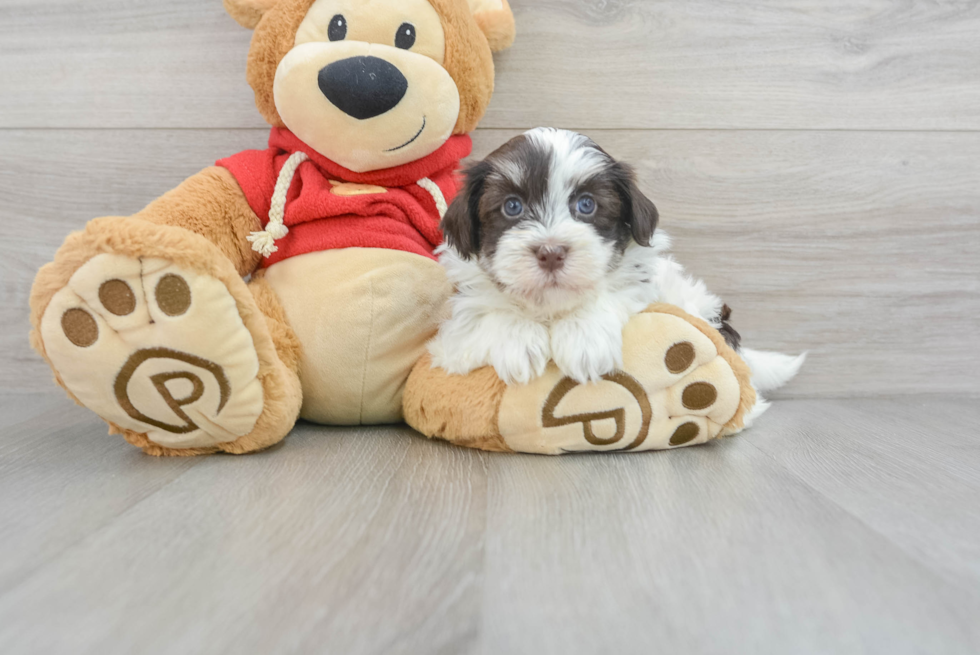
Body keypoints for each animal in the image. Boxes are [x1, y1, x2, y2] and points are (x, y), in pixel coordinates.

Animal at [432, 126, 800, 398]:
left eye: (586, 204)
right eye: (512, 207)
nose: (551, 252)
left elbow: (613, 293)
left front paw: (583, 338)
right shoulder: (453, 333)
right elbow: (490, 311)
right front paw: (518, 341)